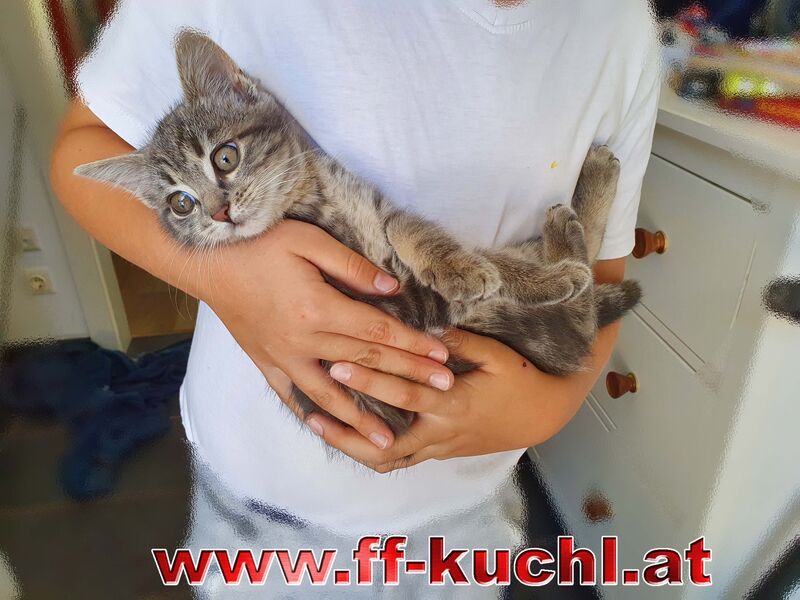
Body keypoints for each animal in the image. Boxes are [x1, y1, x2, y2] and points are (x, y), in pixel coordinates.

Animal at [75, 30, 641, 435]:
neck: (310, 195)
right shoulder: (401, 302)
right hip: (531, 329)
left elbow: (408, 226)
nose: (219, 213)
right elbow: (484, 273)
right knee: (584, 313)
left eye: (225, 157)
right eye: (181, 204)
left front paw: (459, 261)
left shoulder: (384, 223)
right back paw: (570, 235)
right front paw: (503, 273)